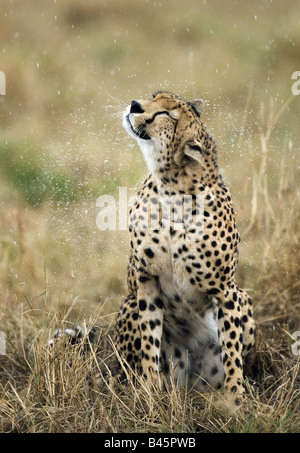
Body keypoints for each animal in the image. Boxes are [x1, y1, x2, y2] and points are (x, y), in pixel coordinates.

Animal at [115, 92, 255, 402]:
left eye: (166, 114)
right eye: (153, 96)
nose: (134, 105)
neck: (171, 189)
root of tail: (192, 383)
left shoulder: (226, 289)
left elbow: (232, 350)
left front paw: (236, 398)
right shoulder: (145, 278)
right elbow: (149, 341)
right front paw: (149, 391)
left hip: (243, 297)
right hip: (129, 303)